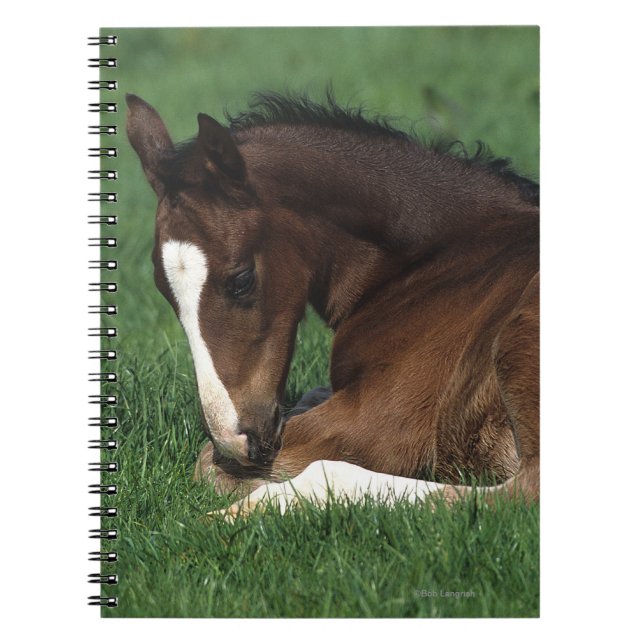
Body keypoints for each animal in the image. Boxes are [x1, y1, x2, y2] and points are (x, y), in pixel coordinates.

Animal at [126, 92, 539, 517]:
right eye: (163, 289)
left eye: (241, 280)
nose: (236, 440)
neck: (440, 261)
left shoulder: (386, 419)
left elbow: (207, 461)